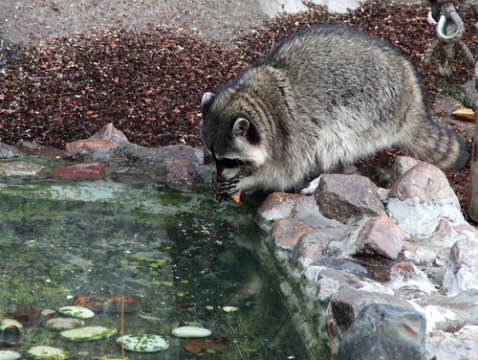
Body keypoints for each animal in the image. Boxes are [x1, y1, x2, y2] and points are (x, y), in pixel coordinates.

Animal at [200, 24, 468, 202]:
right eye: (213, 157)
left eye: (229, 160)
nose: (220, 176)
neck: (258, 101)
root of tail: (412, 96)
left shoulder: (291, 135)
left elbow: (284, 174)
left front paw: (251, 180)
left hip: (373, 109)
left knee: (334, 139)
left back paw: (326, 174)